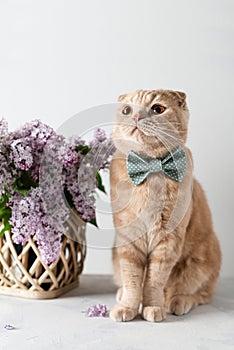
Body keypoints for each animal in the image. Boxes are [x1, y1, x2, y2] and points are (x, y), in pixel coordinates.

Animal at [109, 89, 221, 322]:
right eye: (127, 110)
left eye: (157, 109)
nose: (136, 116)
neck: (150, 168)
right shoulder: (128, 237)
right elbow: (133, 278)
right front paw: (128, 307)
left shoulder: (167, 240)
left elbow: (154, 280)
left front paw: (153, 306)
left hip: (202, 263)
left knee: (199, 293)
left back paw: (177, 301)